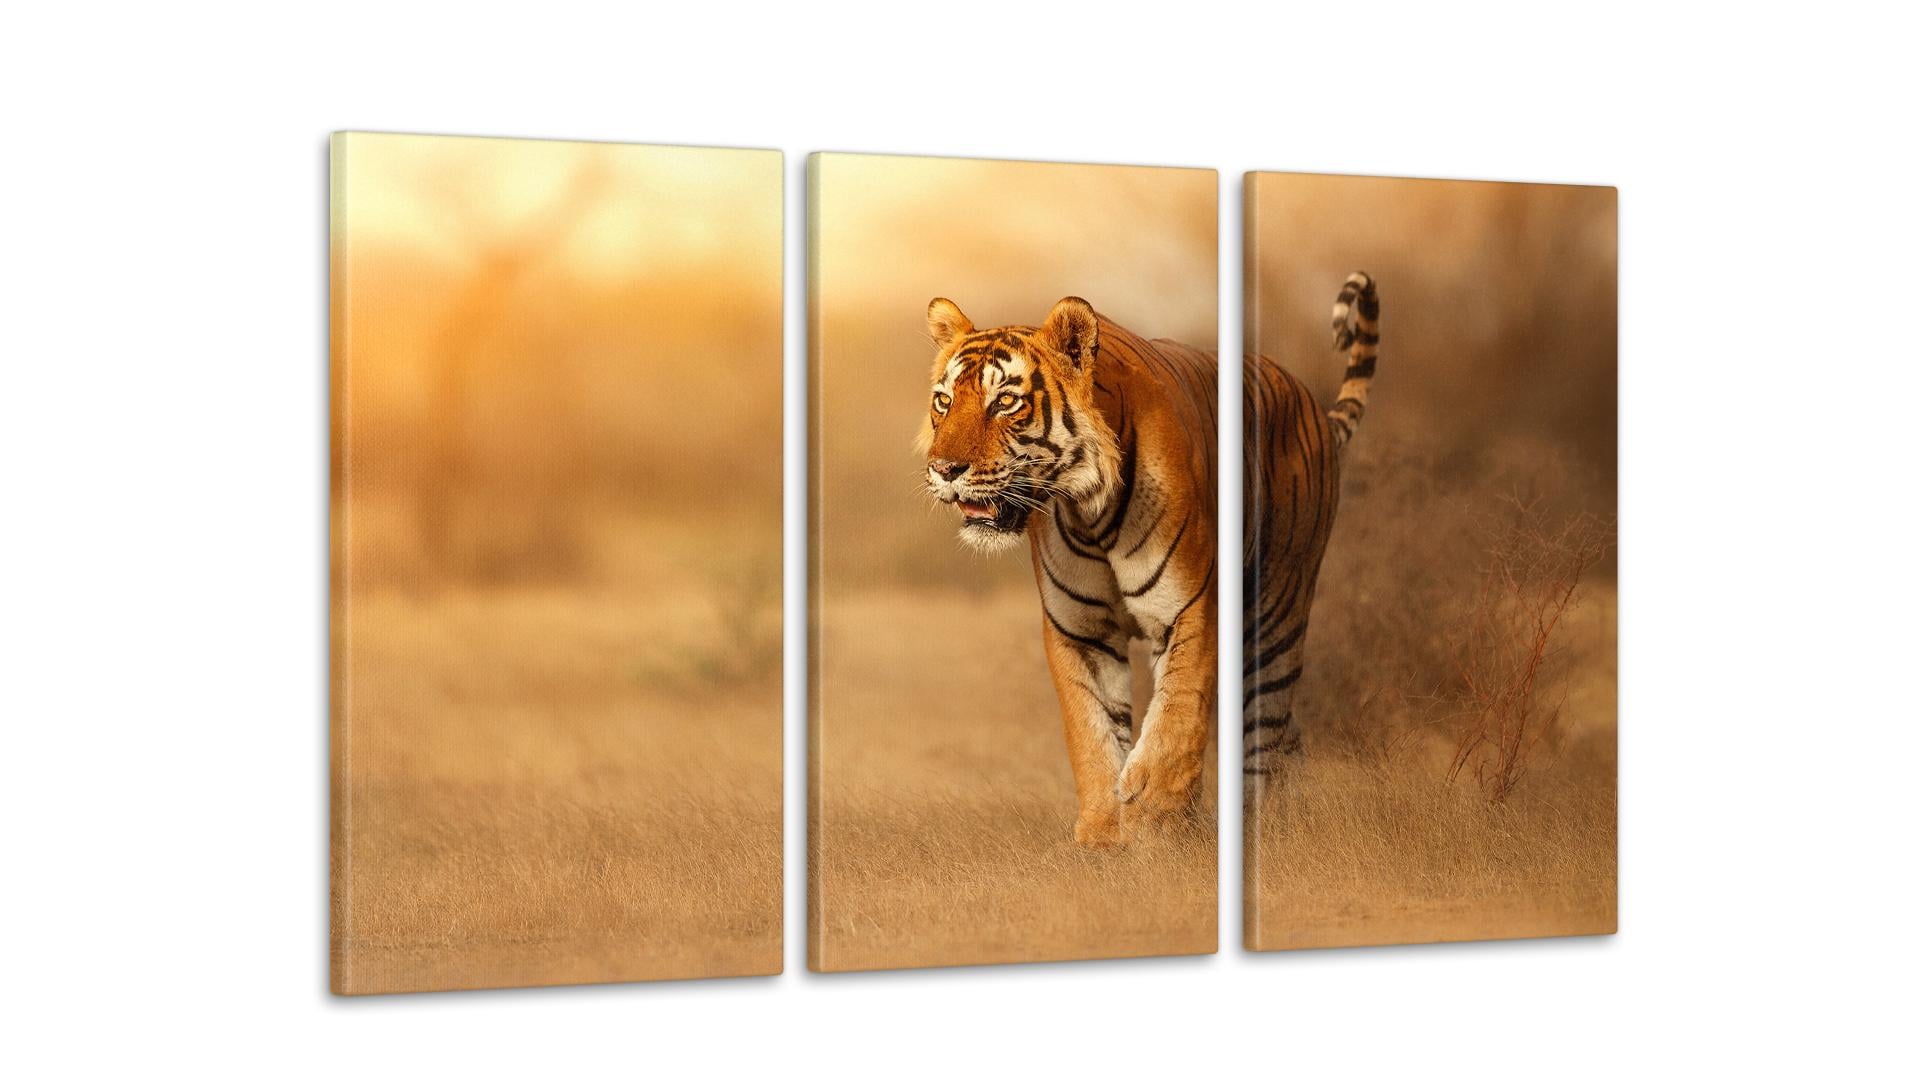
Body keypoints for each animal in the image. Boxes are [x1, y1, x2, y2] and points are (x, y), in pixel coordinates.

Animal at [918, 274, 1378, 848]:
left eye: (1005, 401)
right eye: (943, 401)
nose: (943, 469)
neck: (1088, 509)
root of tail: (1310, 401)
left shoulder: (1191, 606)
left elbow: (1177, 713)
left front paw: (1155, 819)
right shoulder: (1080, 630)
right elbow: (1090, 730)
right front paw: (1102, 832)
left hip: (1277, 615)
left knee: (1266, 734)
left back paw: (1265, 825)